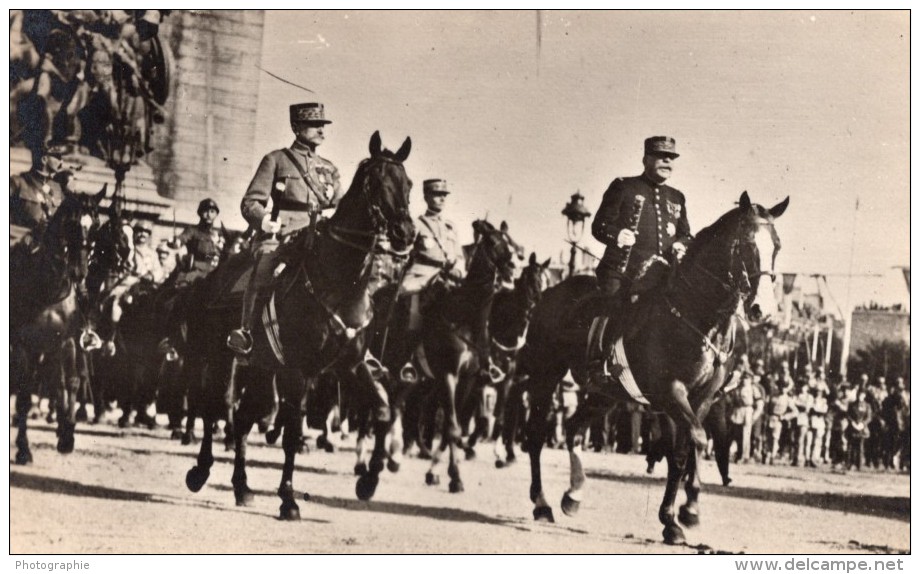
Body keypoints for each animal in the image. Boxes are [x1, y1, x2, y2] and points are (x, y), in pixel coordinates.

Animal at [10, 187, 106, 466]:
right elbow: (23, 395)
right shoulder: (23, 346)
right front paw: (23, 449)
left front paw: (67, 434)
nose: (79, 272)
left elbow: (69, 382)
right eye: (70, 223)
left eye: (96, 224)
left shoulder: (63, 342)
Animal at [185, 133, 416, 520]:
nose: (406, 233)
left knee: (244, 417)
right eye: (376, 181)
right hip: (220, 358)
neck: (338, 281)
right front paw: (289, 499)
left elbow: (383, 411)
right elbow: (293, 432)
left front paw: (368, 480)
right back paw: (200, 471)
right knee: (216, 405)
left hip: (262, 369)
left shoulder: (350, 366)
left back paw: (242, 487)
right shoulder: (297, 371)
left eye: (408, 183)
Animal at [520, 192, 788, 544]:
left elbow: (683, 451)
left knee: (574, 428)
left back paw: (573, 494)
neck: (697, 314)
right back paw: (541, 504)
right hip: (545, 373)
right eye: (745, 243)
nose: (763, 310)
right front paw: (683, 511)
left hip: (605, 394)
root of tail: (551, 292)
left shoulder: (702, 398)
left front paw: (678, 516)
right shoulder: (670, 393)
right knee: (538, 434)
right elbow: (696, 441)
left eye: (777, 245)